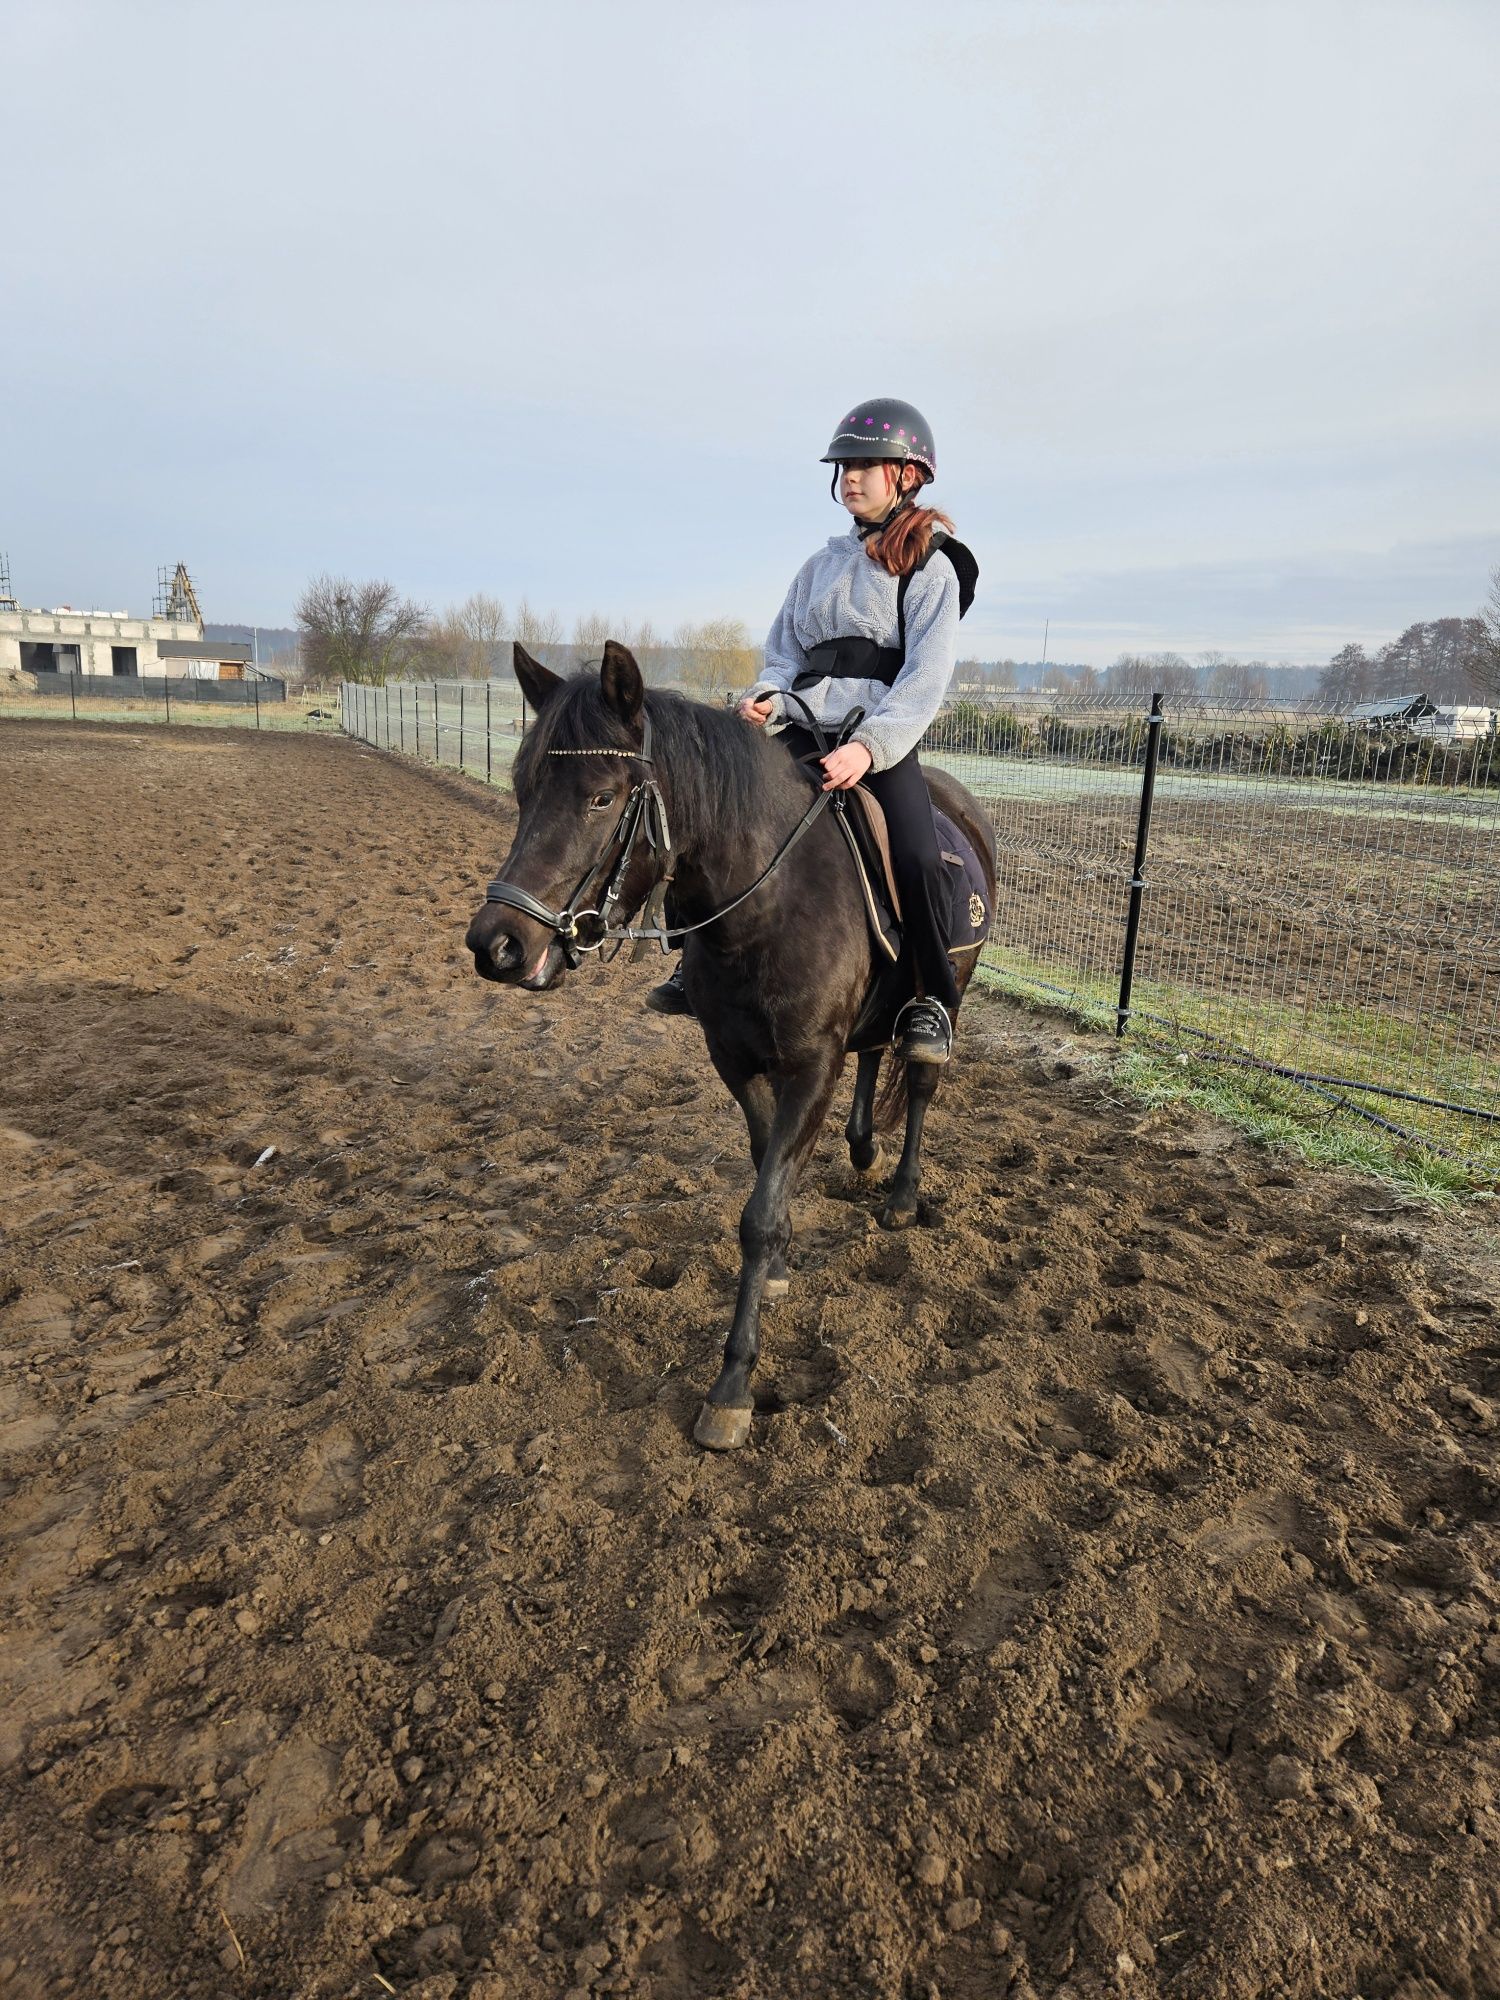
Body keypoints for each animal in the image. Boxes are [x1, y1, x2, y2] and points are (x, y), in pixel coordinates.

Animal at [458, 648, 1000, 1448]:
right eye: (524, 789)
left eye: (600, 798)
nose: (496, 944)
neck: (769, 902)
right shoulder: (736, 1060)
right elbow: (764, 1170)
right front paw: (777, 1269)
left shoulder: (810, 1066)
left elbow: (760, 1212)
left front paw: (733, 1386)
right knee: (875, 1055)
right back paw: (864, 1151)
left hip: (950, 988)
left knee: (922, 1080)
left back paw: (901, 1192)